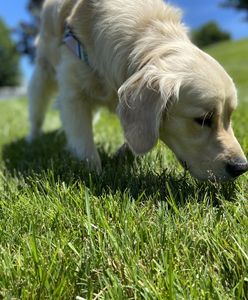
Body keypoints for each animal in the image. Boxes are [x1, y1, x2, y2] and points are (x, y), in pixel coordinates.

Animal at [27, 0, 248, 180]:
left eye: (230, 116)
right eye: (202, 120)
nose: (241, 167)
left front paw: (123, 154)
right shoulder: (73, 94)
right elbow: (83, 141)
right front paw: (94, 174)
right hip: (43, 75)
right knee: (37, 111)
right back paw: (32, 139)